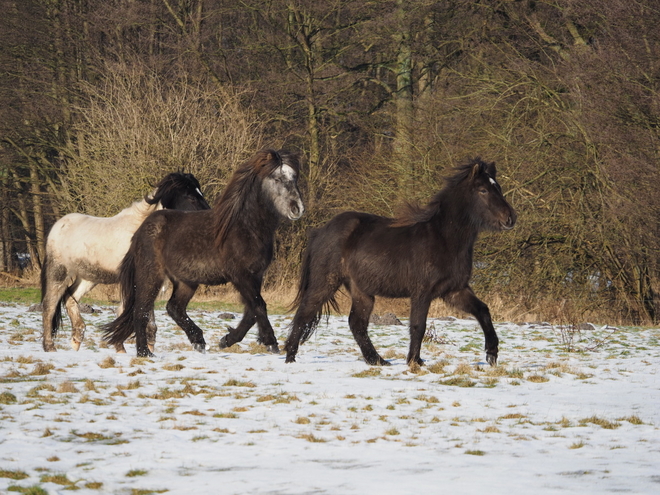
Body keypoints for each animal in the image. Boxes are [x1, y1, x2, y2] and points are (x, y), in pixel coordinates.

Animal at [102, 149, 306, 358]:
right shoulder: (240, 276)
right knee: (141, 310)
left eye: (294, 177)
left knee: (174, 307)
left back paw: (198, 341)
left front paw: (227, 340)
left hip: (186, 281)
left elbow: (251, 311)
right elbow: (259, 306)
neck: (246, 228)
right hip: (151, 275)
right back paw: (144, 352)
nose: (297, 208)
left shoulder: (256, 276)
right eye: (277, 178)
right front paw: (271, 343)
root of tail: (140, 230)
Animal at [284, 159, 516, 368]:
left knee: (357, 324)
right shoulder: (422, 292)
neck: (444, 238)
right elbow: (418, 326)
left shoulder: (454, 290)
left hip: (362, 291)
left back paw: (377, 360)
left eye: (498, 187)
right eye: (483, 190)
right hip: (326, 282)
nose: (510, 218)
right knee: (304, 314)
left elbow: (483, 311)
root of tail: (320, 231)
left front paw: (492, 354)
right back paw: (290, 358)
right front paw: (415, 361)